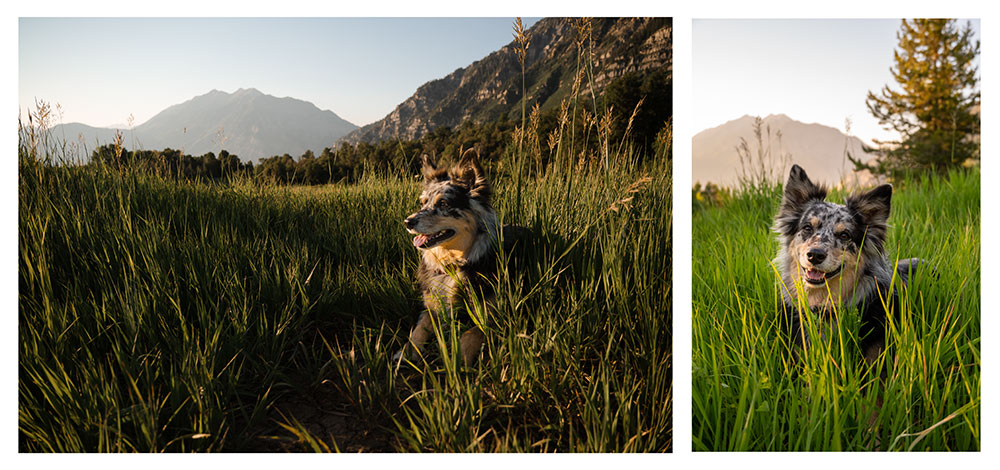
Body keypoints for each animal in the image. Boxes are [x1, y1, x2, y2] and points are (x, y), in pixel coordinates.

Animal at [392, 149, 524, 366]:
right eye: (422, 203)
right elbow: (418, 329)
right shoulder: (432, 306)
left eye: (443, 203)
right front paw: (407, 352)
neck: (452, 263)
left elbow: (471, 333)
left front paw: (457, 359)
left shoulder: (494, 314)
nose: (407, 222)